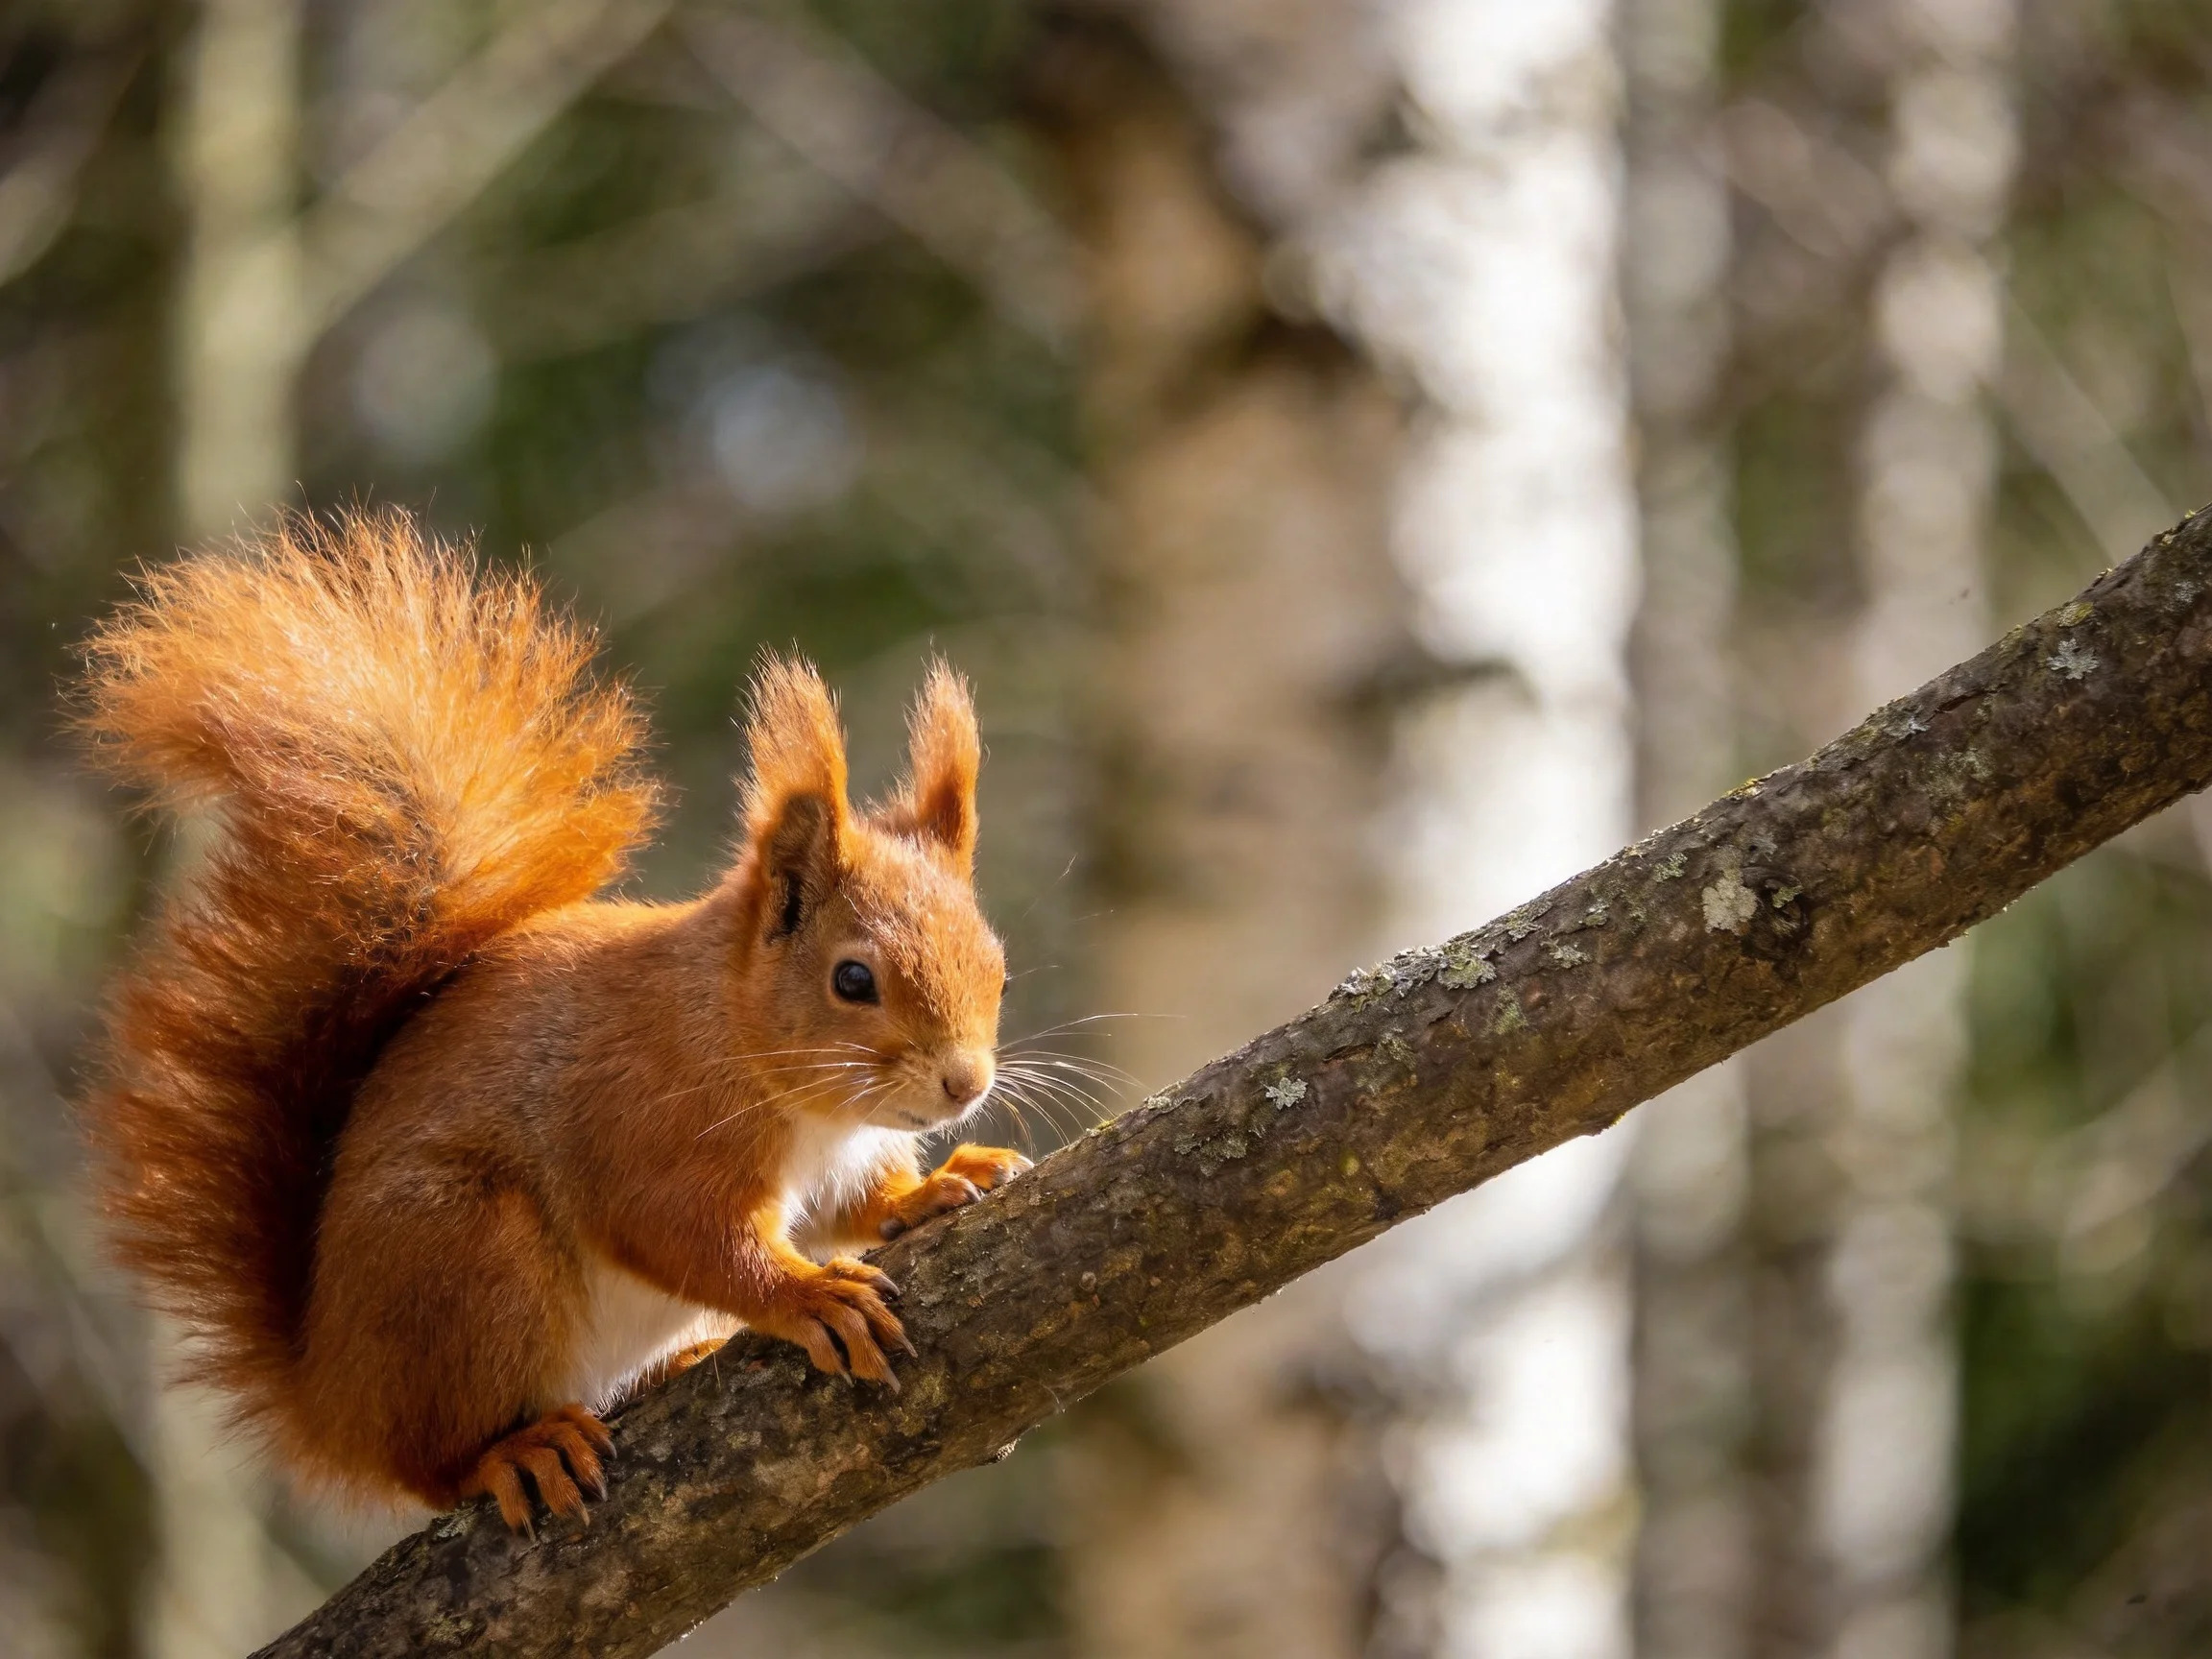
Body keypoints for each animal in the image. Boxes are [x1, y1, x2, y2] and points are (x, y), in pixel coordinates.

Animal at [73, 507, 1030, 1532]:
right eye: (853, 979)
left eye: (999, 967)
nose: (964, 1083)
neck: (747, 1046)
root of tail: (330, 1397)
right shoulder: (643, 1123)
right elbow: (684, 1233)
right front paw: (808, 1293)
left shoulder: (842, 1156)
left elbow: (859, 1203)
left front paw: (937, 1184)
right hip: (469, 1260)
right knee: (433, 1461)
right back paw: (516, 1449)